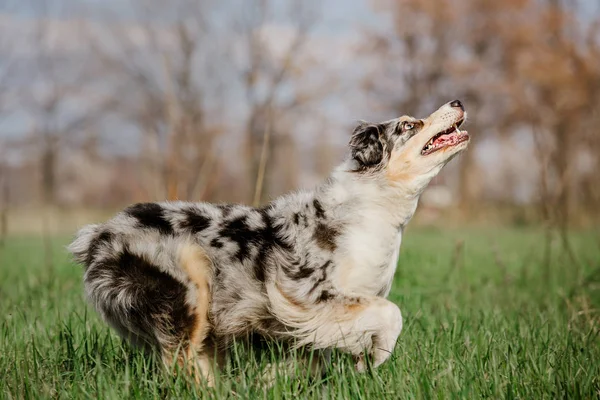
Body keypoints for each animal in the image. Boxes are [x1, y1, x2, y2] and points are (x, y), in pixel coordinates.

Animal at [69, 99, 468, 384]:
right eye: (408, 125)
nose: (458, 101)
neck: (372, 206)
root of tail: (97, 234)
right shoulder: (308, 294)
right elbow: (390, 314)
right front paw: (377, 355)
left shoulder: (328, 311)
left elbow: (312, 357)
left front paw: (273, 378)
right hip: (188, 287)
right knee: (182, 363)